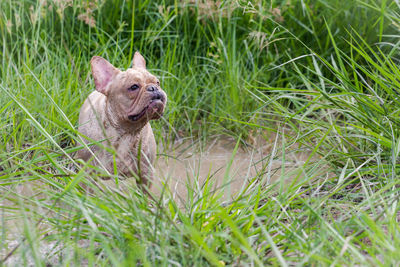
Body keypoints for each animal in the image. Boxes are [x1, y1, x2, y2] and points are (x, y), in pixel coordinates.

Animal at [76, 52, 166, 188]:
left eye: (157, 82)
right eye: (134, 87)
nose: (153, 88)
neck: (126, 132)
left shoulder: (146, 175)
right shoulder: (87, 174)